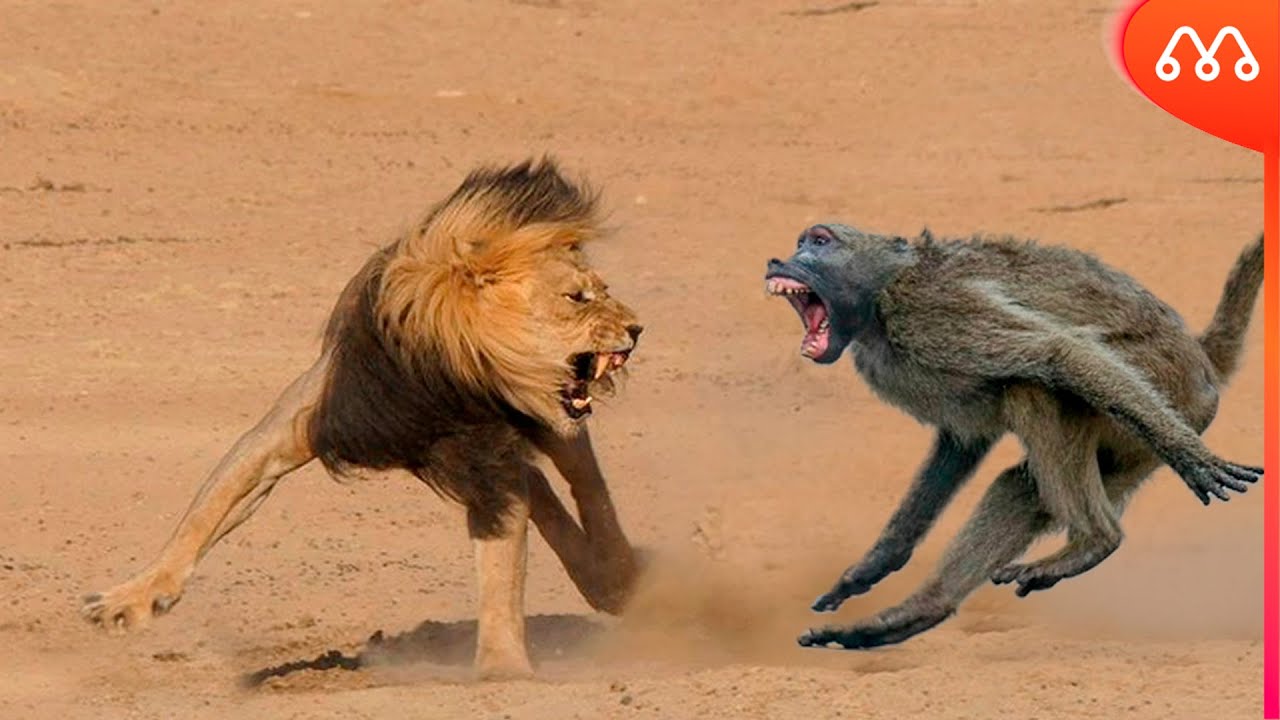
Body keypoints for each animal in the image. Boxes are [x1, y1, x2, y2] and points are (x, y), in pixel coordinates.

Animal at [82, 158, 645, 678]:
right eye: (576, 298)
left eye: (603, 290)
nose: (638, 329)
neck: (451, 371)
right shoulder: (301, 425)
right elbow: (206, 512)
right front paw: (130, 599)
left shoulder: (491, 461)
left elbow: (501, 572)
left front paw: (503, 667)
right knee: (545, 490)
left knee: (585, 487)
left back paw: (616, 579)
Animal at [763, 224, 1264, 649]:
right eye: (800, 242)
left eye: (820, 241)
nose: (777, 260)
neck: (880, 298)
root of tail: (1199, 355)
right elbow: (961, 442)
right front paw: (868, 571)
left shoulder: (929, 310)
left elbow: (1057, 349)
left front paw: (1192, 458)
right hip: (1145, 434)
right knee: (1020, 481)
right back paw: (915, 614)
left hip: (1166, 387)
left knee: (1035, 386)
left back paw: (1095, 541)